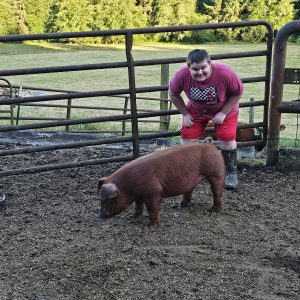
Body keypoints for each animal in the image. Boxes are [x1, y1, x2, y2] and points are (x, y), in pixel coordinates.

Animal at [96, 142, 225, 226]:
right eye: (100, 198)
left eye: (110, 199)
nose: (100, 215)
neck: (126, 186)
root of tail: (211, 145)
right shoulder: (139, 196)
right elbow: (138, 205)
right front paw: (133, 216)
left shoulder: (153, 192)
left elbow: (153, 209)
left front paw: (152, 226)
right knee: (191, 189)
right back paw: (183, 204)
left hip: (216, 172)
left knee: (217, 191)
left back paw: (214, 210)